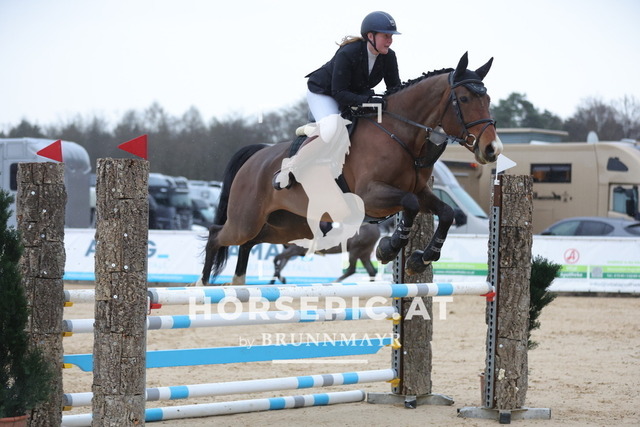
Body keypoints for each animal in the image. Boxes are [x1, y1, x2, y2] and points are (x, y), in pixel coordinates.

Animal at [200, 52, 502, 286]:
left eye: (488, 101)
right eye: (464, 99)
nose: (492, 149)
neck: (400, 134)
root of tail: (257, 154)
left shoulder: (420, 192)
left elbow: (446, 212)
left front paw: (419, 260)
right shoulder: (371, 196)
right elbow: (410, 203)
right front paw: (388, 249)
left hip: (286, 225)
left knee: (249, 243)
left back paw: (238, 284)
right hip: (247, 219)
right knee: (218, 234)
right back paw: (203, 284)